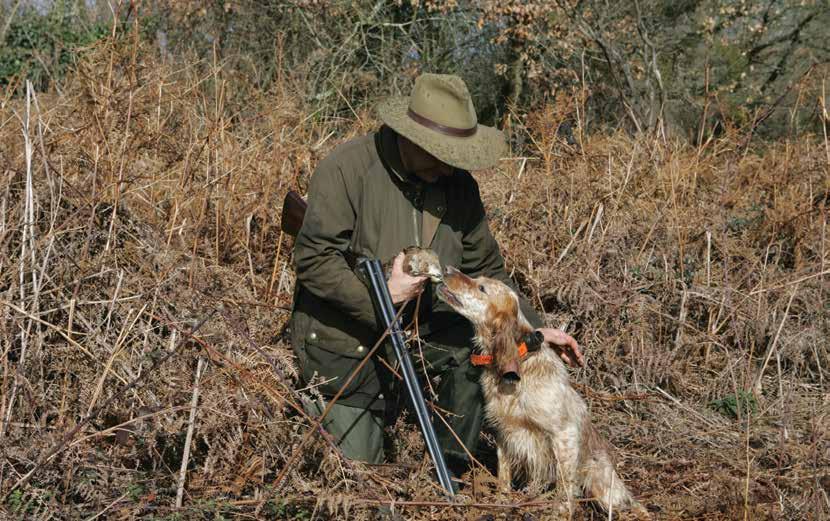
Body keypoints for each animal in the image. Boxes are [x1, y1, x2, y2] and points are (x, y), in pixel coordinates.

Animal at [438, 266, 648, 512]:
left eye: (481, 287)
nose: (447, 269)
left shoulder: (564, 434)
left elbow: (565, 486)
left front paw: (561, 511)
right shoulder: (504, 432)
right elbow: (503, 475)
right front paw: (502, 501)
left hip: (603, 487)